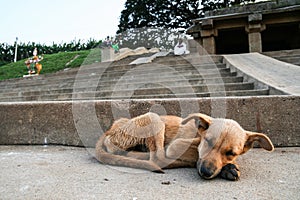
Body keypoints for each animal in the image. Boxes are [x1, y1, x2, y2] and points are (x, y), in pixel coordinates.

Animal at [96, 112, 274, 180]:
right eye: (208, 141)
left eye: (231, 152)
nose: (206, 172)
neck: (198, 135)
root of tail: (110, 130)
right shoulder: (178, 145)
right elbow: (194, 152)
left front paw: (228, 166)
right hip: (154, 117)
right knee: (157, 158)